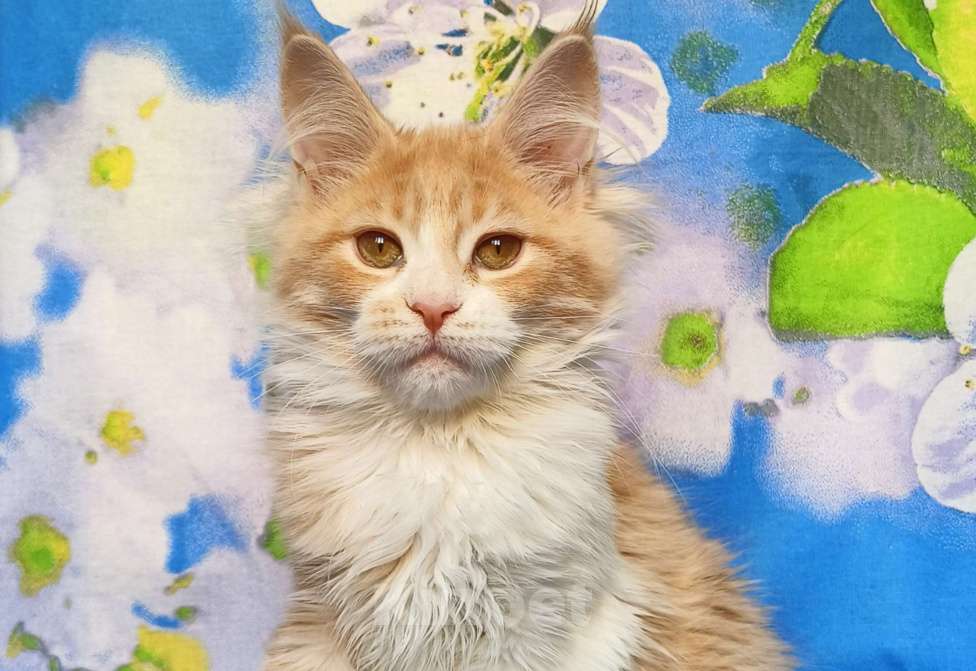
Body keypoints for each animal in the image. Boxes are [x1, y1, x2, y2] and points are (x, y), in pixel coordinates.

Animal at [261, 6, 791, 671]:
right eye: (379, 248)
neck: (444, 449)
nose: (433, 307)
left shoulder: (562, 620)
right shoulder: (330, 623)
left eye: (497, 251)